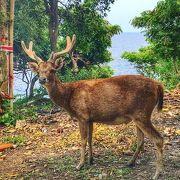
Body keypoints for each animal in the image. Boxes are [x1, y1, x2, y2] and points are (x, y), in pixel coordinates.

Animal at [21, 34, 165, 179]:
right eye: (38, 71)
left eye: (52, 70)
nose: (42, 79)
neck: (68, 97)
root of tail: (158, 85)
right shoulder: (90, 118)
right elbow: (90, 139)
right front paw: (91, 160)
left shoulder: (82, 115)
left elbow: (83, 140)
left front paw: (80, 164)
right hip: (138, 116)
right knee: (141, 140)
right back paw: (130, 162)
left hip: (143, 113)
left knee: (158, 139)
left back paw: (156, 174)